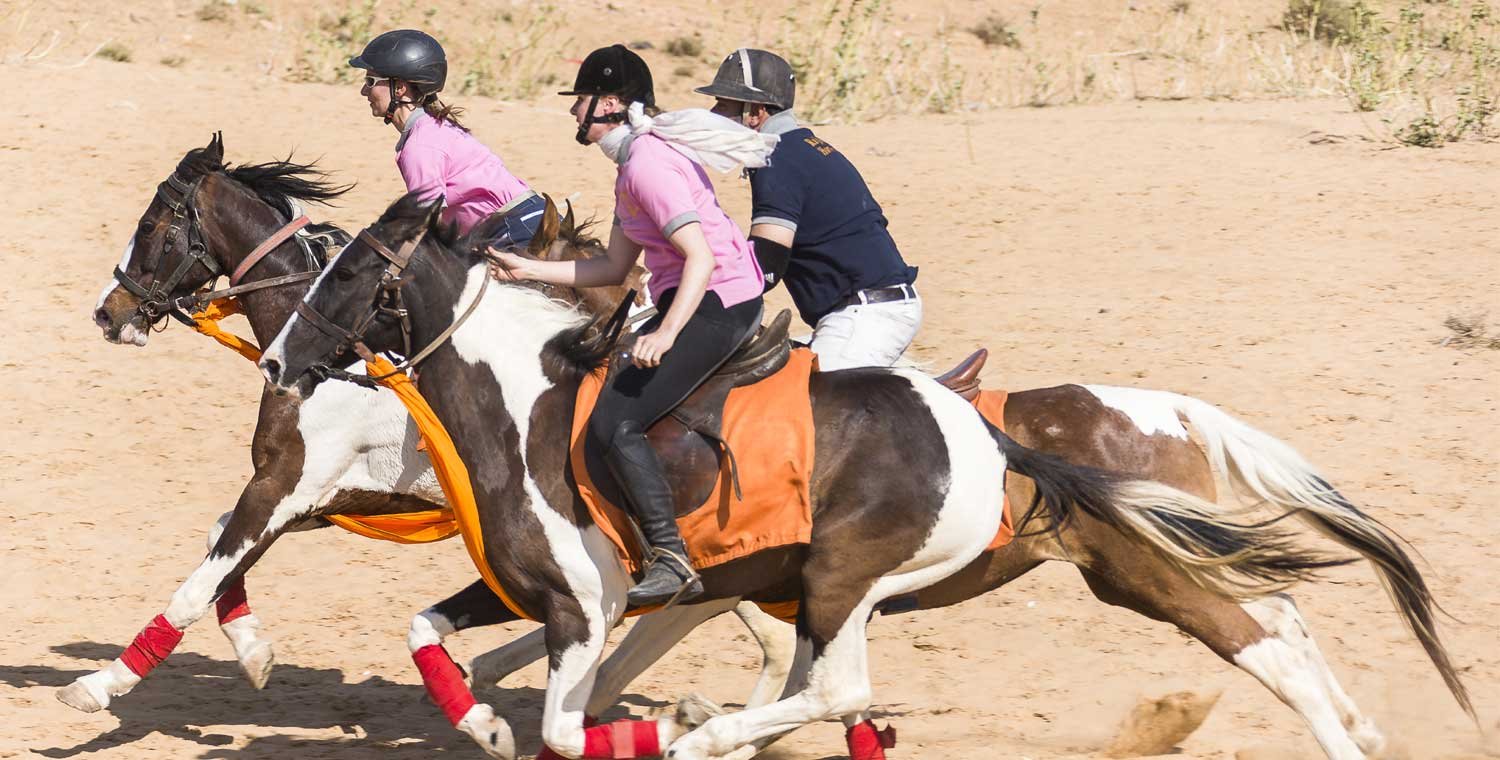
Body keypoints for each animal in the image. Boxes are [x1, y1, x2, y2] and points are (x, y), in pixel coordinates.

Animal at [257, 192, 1387, 760]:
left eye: (347, 270)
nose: (274, 358)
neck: (534, 411)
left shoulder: (612, 604)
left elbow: (578, 722)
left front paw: (676, 722)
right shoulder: (559, 593)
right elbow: (436, 637)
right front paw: (487, 718)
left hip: (928, 576)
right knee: (1282, 619)